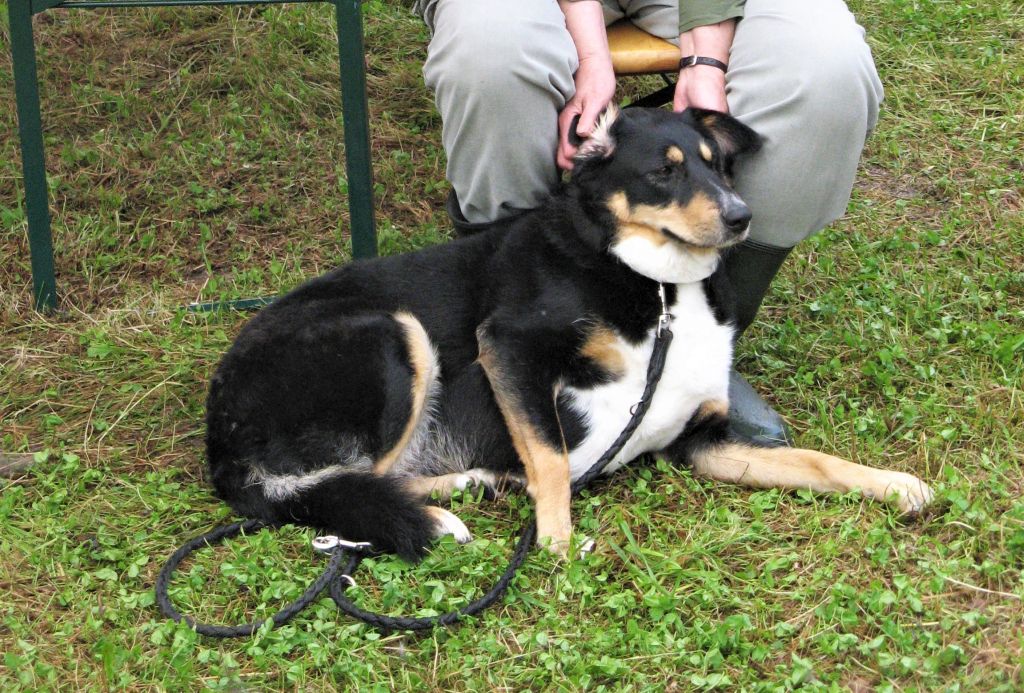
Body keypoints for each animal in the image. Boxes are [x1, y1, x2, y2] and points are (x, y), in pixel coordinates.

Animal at [205, 106, 933, 561]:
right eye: (664, 170)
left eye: (717, 165)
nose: (741, 215)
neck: (659, 290)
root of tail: (219, 428)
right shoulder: (509, 347)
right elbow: (552, 457)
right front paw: (556, 547)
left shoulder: (703, 442)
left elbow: (817, 462)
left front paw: (896, 485)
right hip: (396, 335)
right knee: (332, 489)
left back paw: (466, 486)